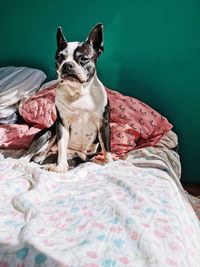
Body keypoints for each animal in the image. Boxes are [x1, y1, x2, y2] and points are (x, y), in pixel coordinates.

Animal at [22, 23, 112, 174]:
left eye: (84, 58)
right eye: (59, 58)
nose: (67, 64)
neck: (79, 92)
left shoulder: (103, 123)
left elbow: (107, 147)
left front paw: (110, 163)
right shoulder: (62, 124)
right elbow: (62, 147)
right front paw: (61, 168)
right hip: (48, 133)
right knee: (29, 154)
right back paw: (22, 163)